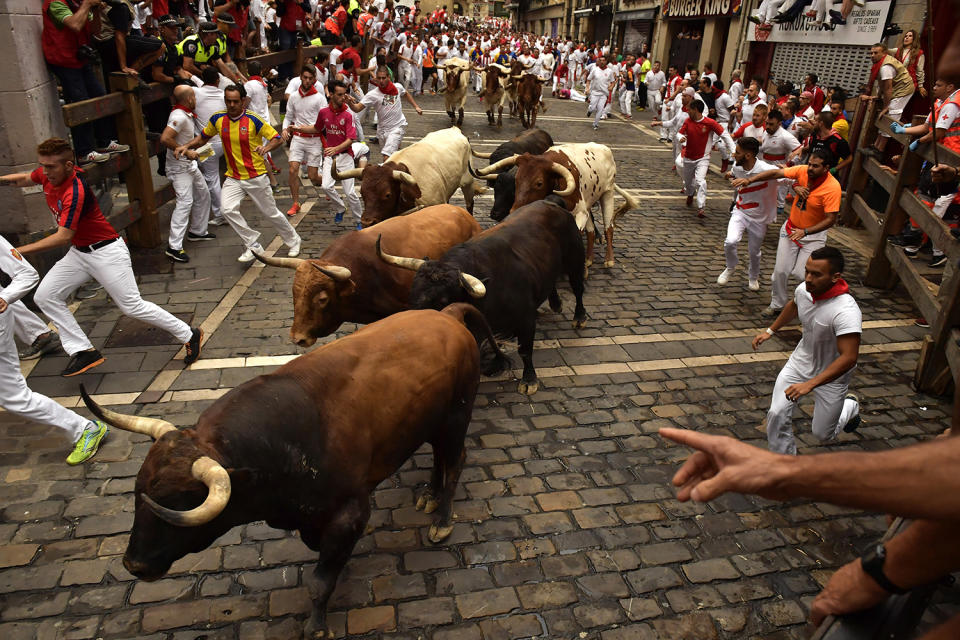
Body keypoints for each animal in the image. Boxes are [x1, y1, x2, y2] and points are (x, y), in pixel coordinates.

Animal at [80, 304, 510, 640]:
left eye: (178, 502)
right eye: (137, 493)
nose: (133, 565)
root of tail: (446, 315)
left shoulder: (351, 509)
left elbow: (320, 581)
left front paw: (317, 625)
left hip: (456, 417)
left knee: (455, 461)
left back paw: (442, 519)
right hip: (431, 423)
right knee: (439, 459)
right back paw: (429, 496)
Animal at [334, 127, 484, 228]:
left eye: (387, 195)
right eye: (362, 193)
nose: (366, 222)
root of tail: (455, 129)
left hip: (468, 182)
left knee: (470, 205)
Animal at [376, 199, 584, 396]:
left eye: (443, 301)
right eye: (412, 295)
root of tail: (552, 204)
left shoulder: (526, 319)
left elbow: (525, 350)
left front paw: (529, 380)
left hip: (575, 261)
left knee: (578, 289)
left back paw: (579, 318)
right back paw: (556, 304)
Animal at [474, 141, 636, 268]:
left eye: (539, 183)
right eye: (517, 179)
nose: (514, 210)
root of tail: (604, 148)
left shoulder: (581, 212)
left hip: (607, 194)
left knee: (609, 227)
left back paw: (609, 260)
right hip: (590, 201)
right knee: (590, 231)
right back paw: (589, 259)